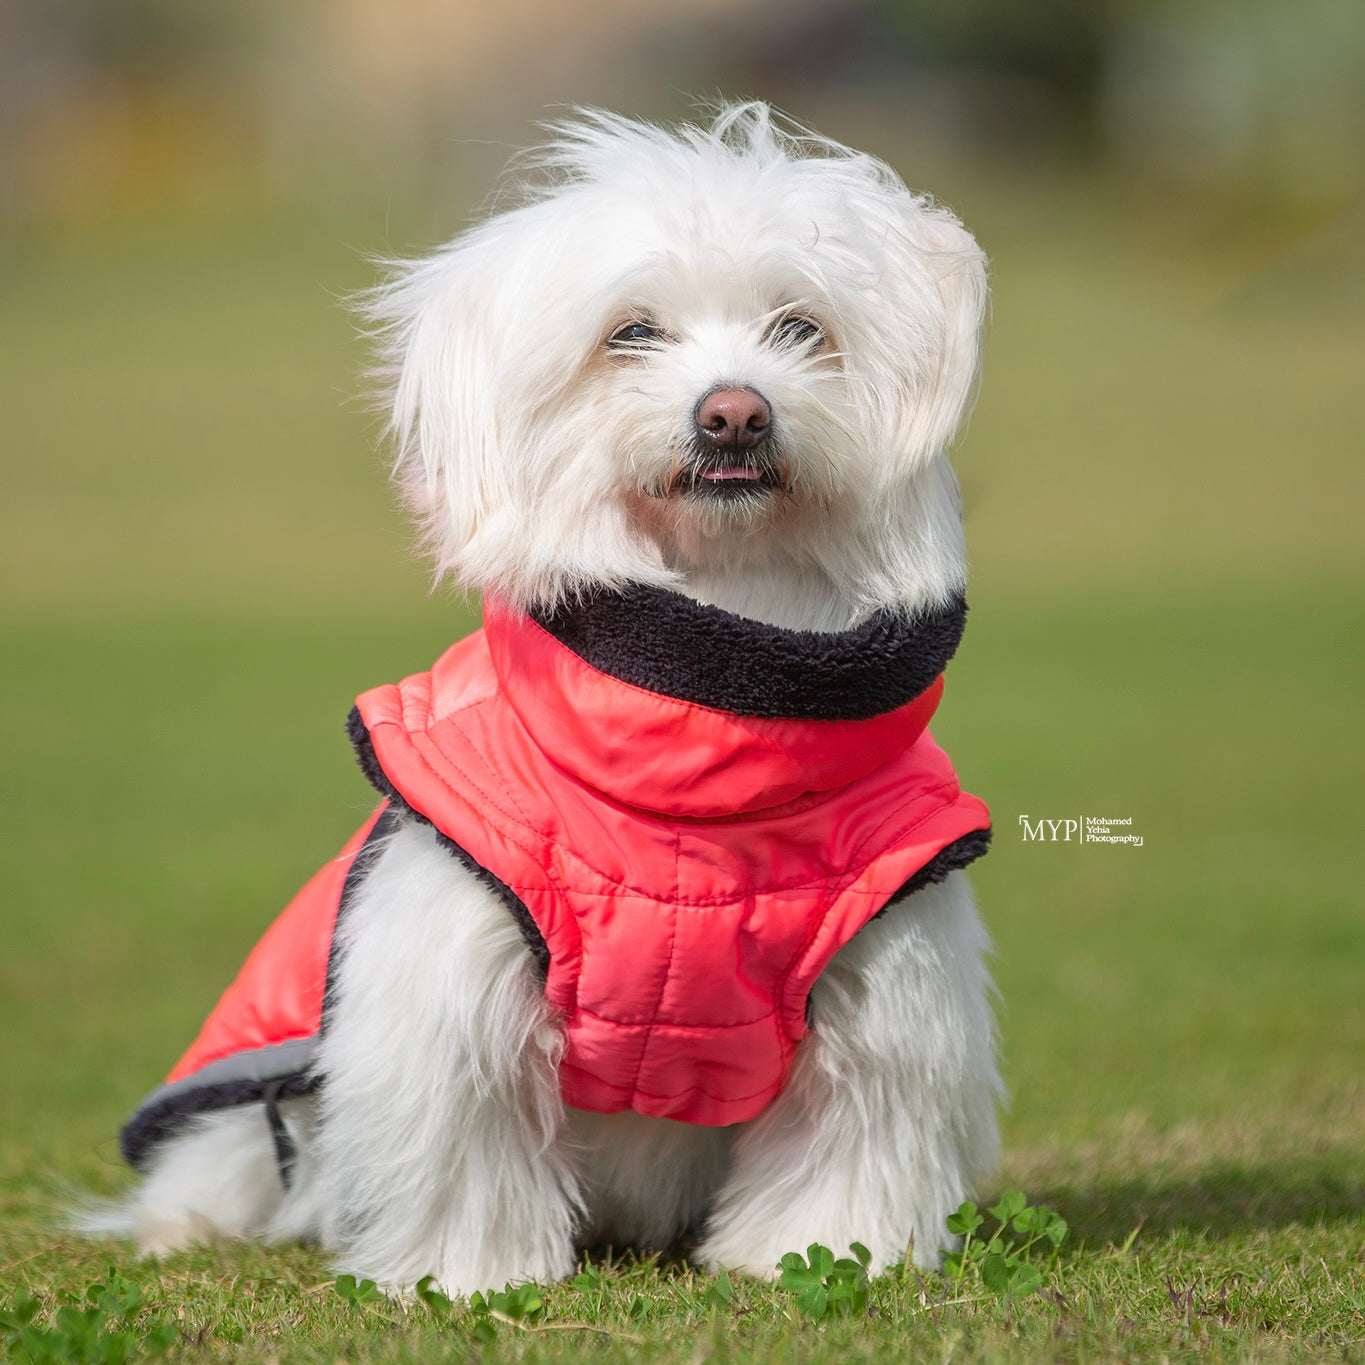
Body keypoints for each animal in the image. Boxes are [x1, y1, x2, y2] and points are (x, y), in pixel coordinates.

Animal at [90, 103, 999, 1288]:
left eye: (800, 328)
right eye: (631, 334)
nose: (735, 415)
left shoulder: (882, 965)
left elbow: (850, 1142)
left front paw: (819, 1254)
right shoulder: (455, 972)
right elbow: (464, 1140)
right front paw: (469, 1275)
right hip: (247, 1107)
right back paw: (181, 1226)